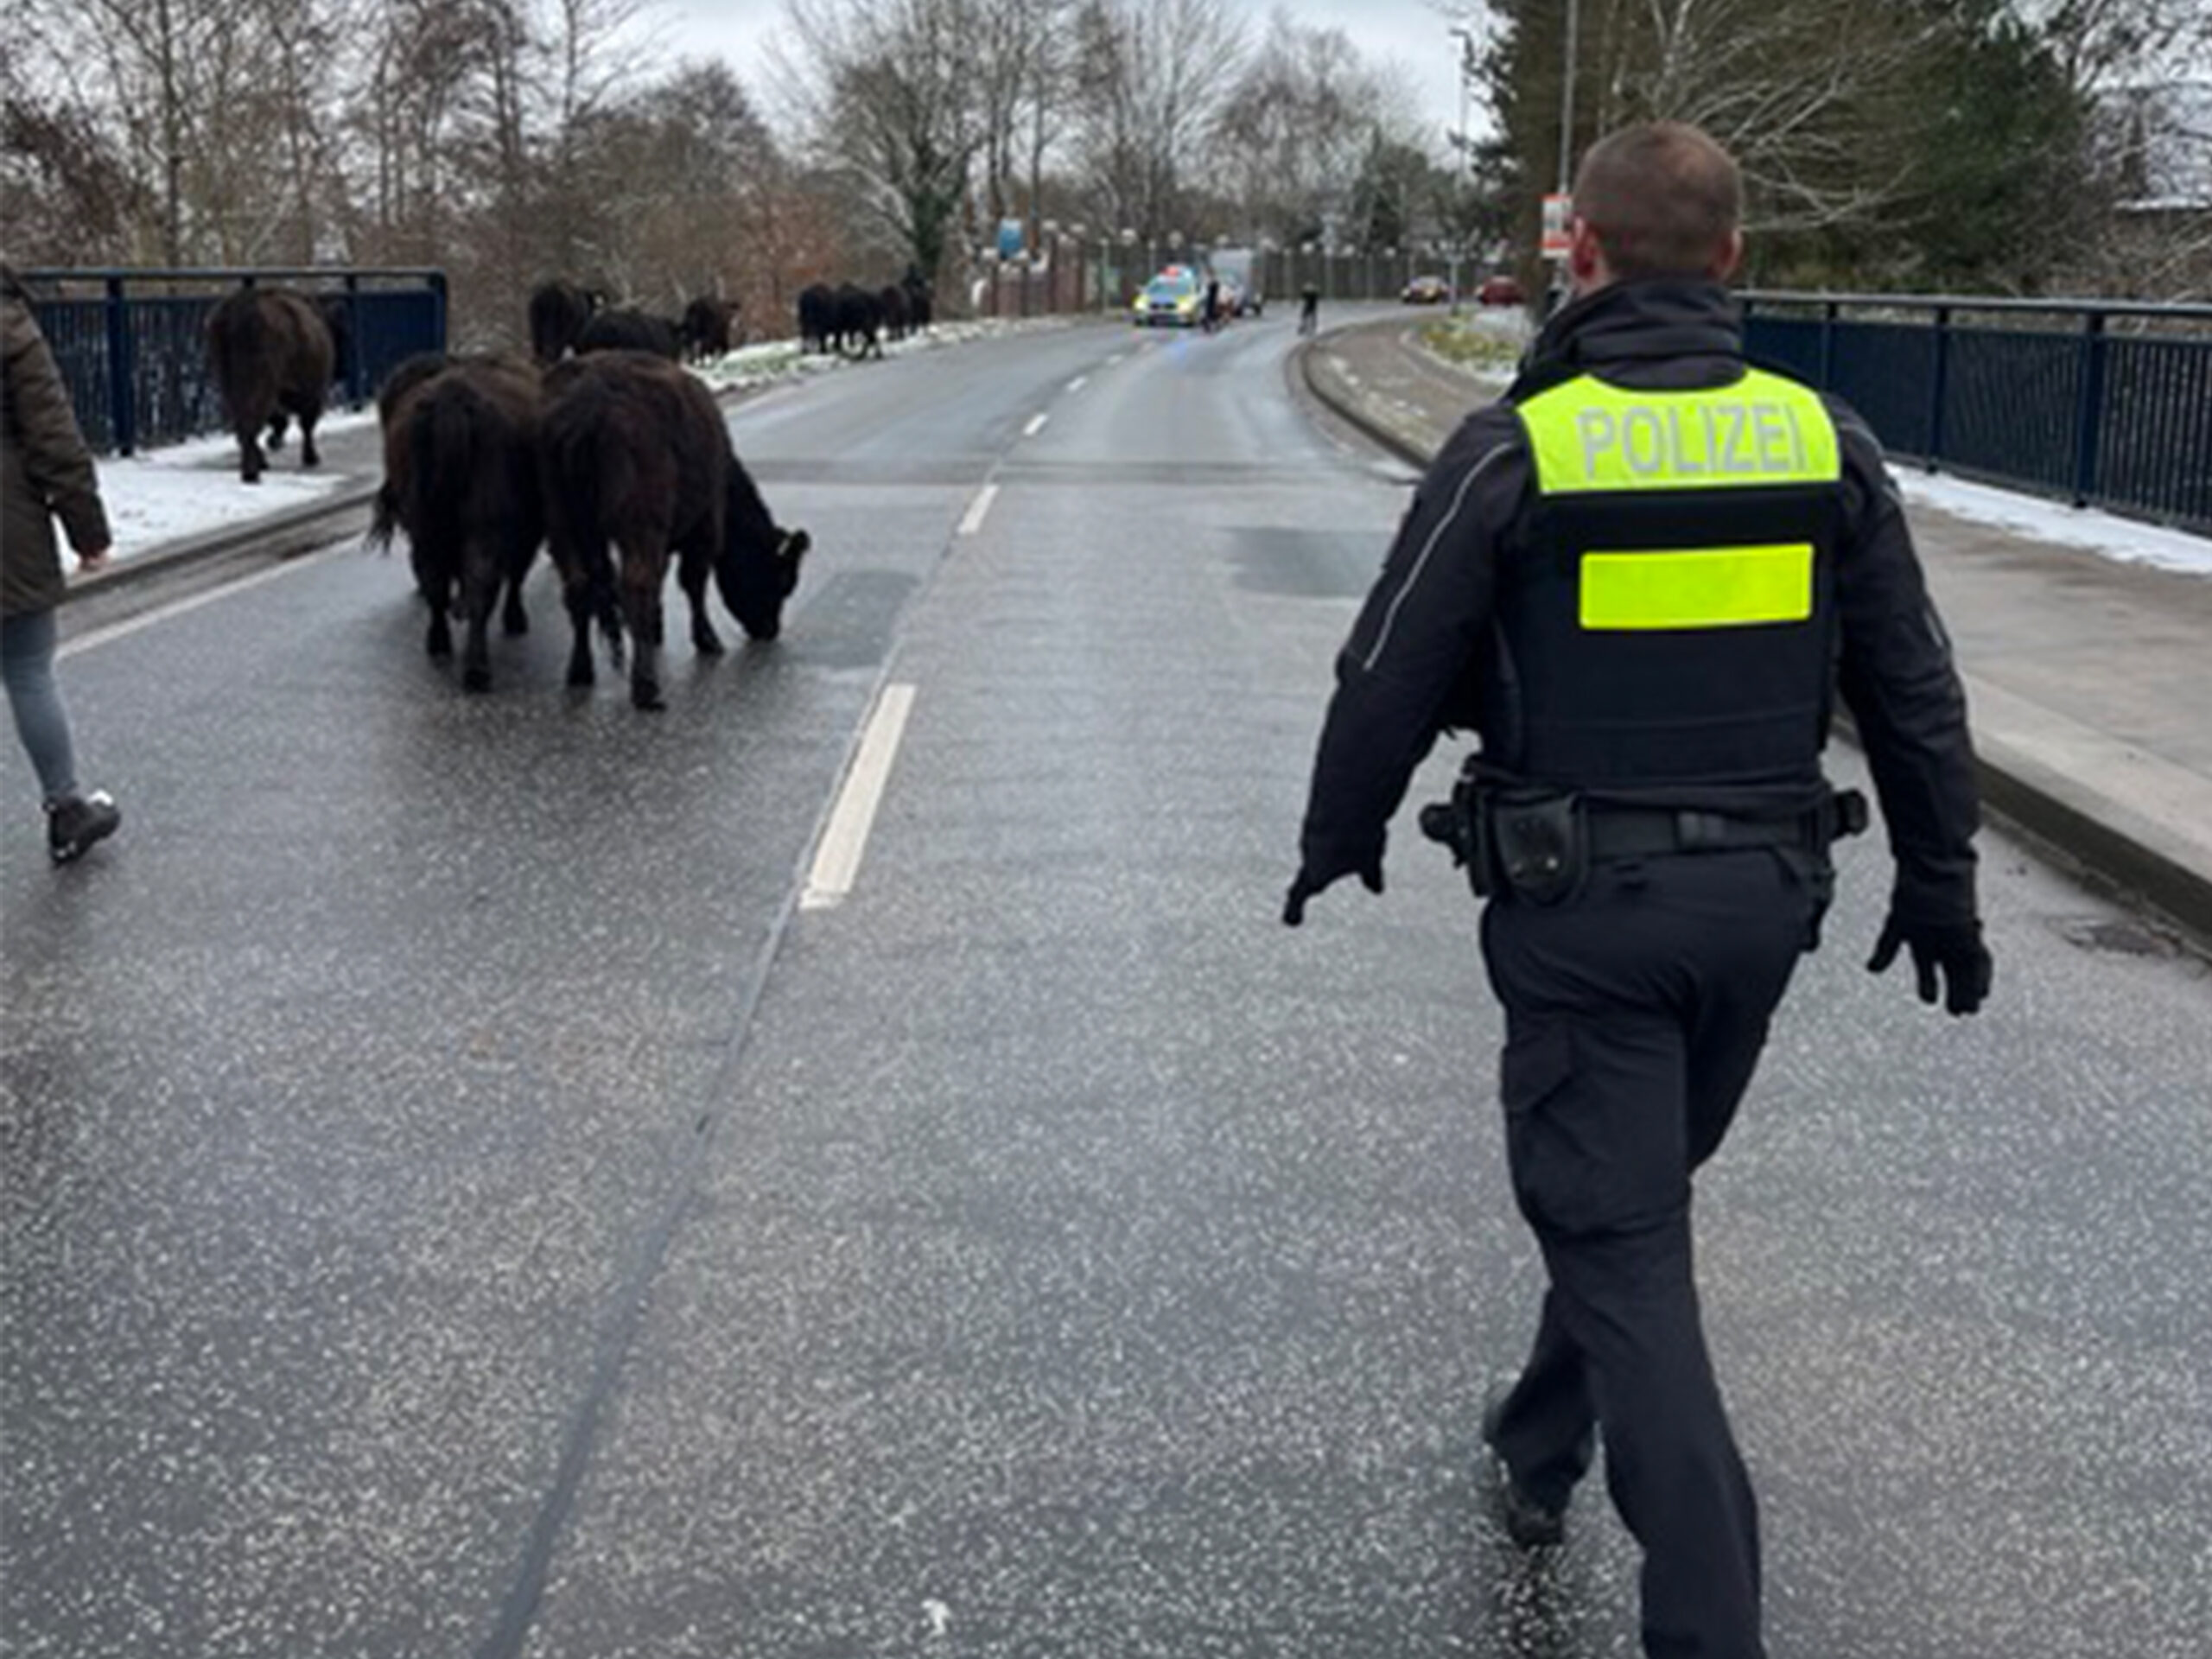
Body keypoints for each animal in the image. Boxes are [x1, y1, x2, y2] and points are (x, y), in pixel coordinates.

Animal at [204, 285, 332, 480]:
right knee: (250, 421)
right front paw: (310, 457)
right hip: (261, 383)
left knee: (242, 422)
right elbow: (305, 424)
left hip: (227, 381)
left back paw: (258, 463)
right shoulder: (310, 392)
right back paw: (251, 472)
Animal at [366, 353, 543, 690]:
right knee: (480, 583)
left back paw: (440, 645)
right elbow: (516, 573)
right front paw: (516, 619)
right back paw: (477, 668)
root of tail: (452, 399)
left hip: (426, 527)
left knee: (434, 580)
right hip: (481, 528)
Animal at [539, 352, 818, 708]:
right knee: (637, 586)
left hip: (562, 525)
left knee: (578, 587)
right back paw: (646, 687)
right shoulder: (705, 529)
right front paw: (707, 640)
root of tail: (590, 397)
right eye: (781, 580)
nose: (769, 630)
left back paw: (580, 670)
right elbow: (693, 583)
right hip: (638, 526)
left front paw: (657, 630)